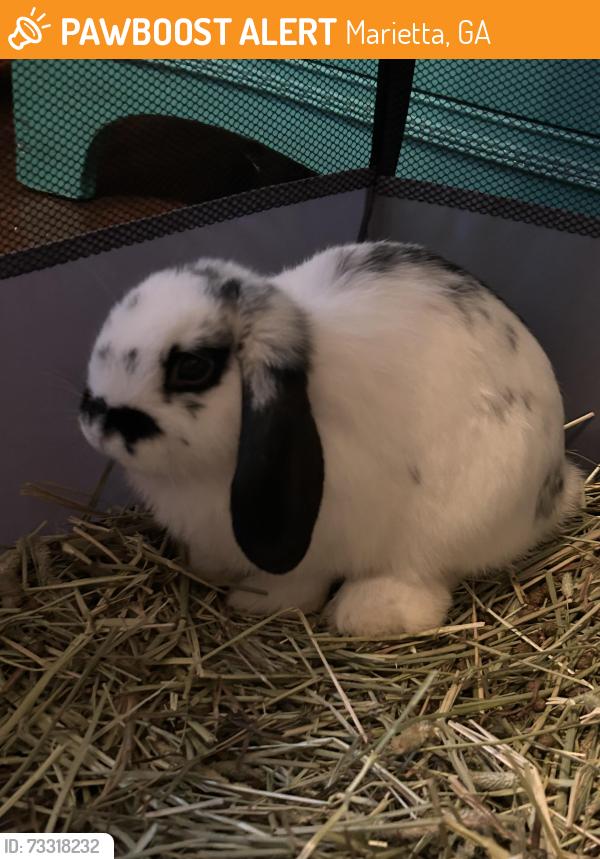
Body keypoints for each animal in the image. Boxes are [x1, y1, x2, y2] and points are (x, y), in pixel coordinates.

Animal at [79, 241, 582, 637]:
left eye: (192, 367)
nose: (94, 421)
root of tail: (556, 485)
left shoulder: (314, 544)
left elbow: (297, 586)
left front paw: (256, 602)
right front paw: (208, 570)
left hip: (455, 517)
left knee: (424, 577)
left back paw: (367, 612)